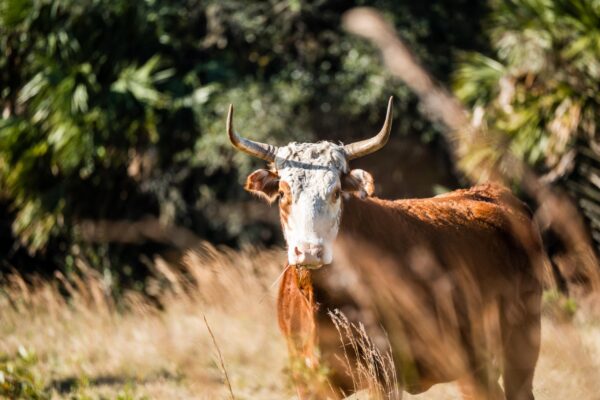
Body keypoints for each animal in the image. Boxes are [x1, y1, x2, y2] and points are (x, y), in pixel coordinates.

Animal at [227, 97, 548, 400]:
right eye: (283, 193)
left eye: (335, 192)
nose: (309, 251)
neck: (321, 301)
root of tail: (495, 193)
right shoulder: (307, 378)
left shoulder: (384, 373)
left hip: (523, 339)